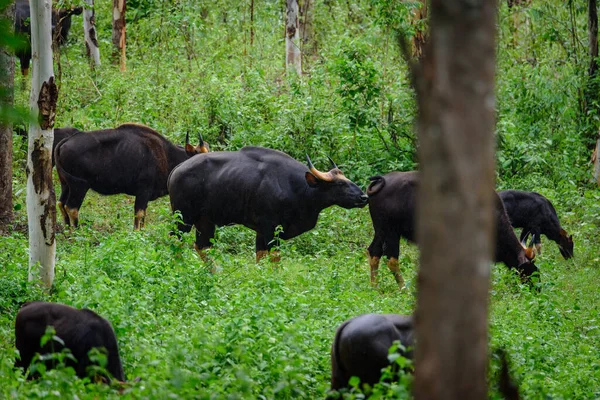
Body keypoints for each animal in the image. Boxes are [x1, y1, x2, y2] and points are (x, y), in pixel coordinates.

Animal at [368, 172, 536, 288]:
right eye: (529, 267)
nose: (537, 288)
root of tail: (379, 183)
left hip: (380, 229)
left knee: (374, 251)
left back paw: (375, 287)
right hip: (391, 231)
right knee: (392, 259)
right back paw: (403, 288)